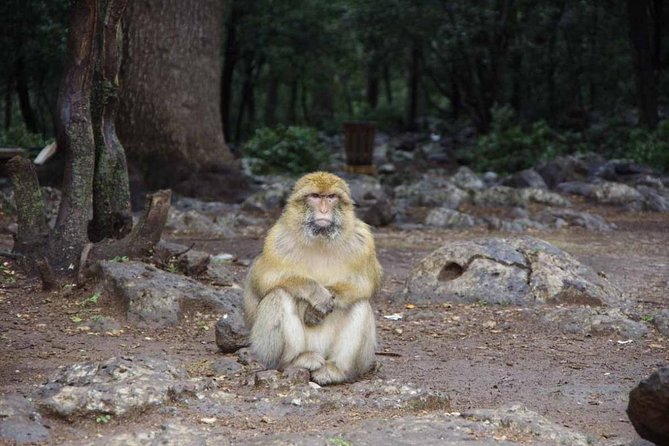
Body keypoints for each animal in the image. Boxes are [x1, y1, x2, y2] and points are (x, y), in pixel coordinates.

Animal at [244, 172, 380, 386]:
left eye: (331, 197)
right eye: (315, 196)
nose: (324, 209)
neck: (320, 239)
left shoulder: (363, 241)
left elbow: (365, 284)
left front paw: (319, 305)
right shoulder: (276, 240)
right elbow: (263, 281)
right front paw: (316, 294)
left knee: (360, 303)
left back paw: (335, 370)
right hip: (268, 352)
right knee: (278, 294)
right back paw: (296, 360)